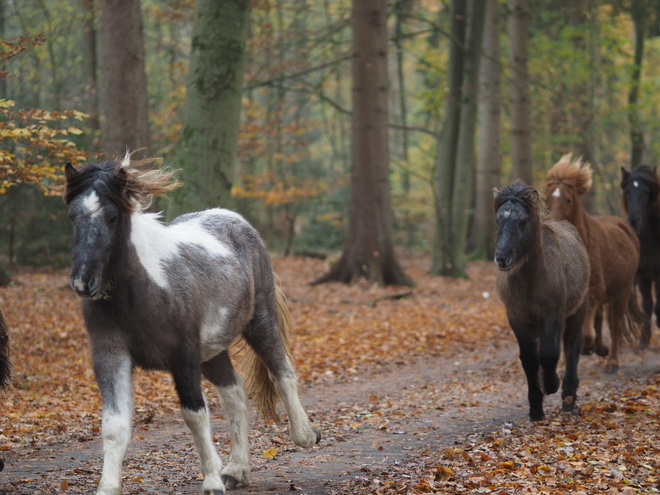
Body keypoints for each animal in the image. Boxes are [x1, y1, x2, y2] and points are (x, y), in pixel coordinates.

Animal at [63, 158, 320, 495]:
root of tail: (235, 219)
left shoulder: (183, 356)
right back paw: (236, 470)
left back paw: (305, 435)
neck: (139, 292)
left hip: (259, 323)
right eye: (72, 215)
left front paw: (210, 481)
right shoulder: (110, 356)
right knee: (235, 394)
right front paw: (107, 487)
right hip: (212, 352)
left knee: (283, 373)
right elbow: (114, 426)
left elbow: (194, 415)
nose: (83, 282)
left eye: (112, 216)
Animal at [492, 182, 592, 422]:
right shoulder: (517, 317)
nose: (501, 259)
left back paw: (568, 396)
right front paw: (536, 408)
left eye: (523, 221)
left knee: (572, 345)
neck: (531, 280)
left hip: (577, 311)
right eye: (499, 220)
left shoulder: (553, 314)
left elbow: (549, 353)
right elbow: (529, 358)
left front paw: (551, 384)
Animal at [548, 154, 644, 372]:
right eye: (547, 198)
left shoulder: (593, 292)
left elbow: (587, 330)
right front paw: (564, 365)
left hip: (622, 292)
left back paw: (612, 362)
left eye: (568, 199)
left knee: (615, 325)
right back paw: (601, 349)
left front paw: (588, 347)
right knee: (600, 319)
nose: (554, 225)